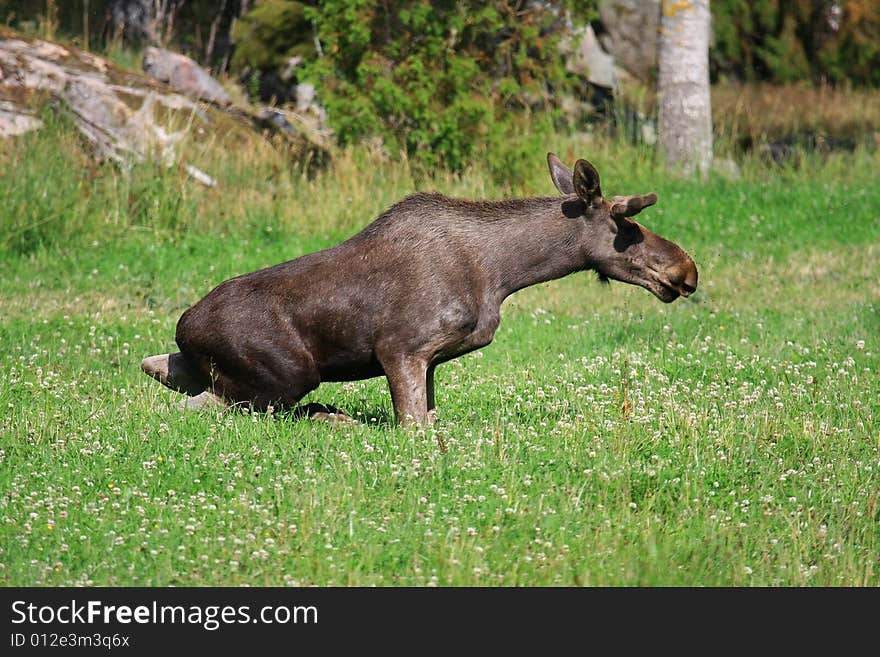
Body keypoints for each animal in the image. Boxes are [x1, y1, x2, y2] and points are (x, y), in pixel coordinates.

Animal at [143, 152, 696, 426]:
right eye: (627, 225)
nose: (686, 270)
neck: (502, 275)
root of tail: (183, 326)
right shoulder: (401, 348)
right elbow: (415, 428)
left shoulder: (428, 360)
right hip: (287, 374)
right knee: (204, 411)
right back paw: (332, 417)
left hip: (204, 367)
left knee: (162, 371)